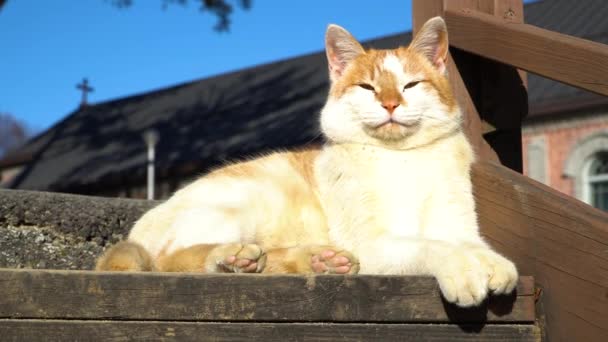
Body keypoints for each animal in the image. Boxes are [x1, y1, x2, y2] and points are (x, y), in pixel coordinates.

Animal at [96, 16, 516, 308]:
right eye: (368, 87)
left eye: (410, 85)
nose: (390, 103)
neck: (403, 158)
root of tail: (138, 230)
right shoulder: (375, 242)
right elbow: (434, 247)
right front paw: (464, 270)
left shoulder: (457, 223)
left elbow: (471, 244)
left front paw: (493, 264)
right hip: (244, 203)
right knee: (171, 259)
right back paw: (234, 258)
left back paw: (320, 261)